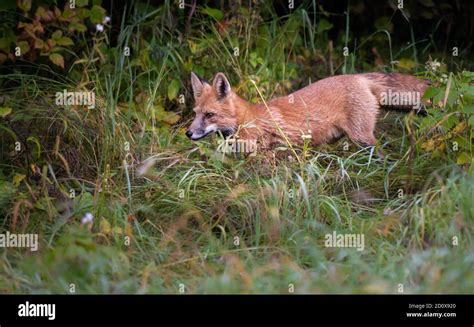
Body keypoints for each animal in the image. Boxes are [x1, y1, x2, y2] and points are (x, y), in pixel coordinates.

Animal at [186, 72, 430, 150]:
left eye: (209, 115)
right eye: (195, 113)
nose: (188, 133)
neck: (249, 119)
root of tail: (358, 76)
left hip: (362, 138)